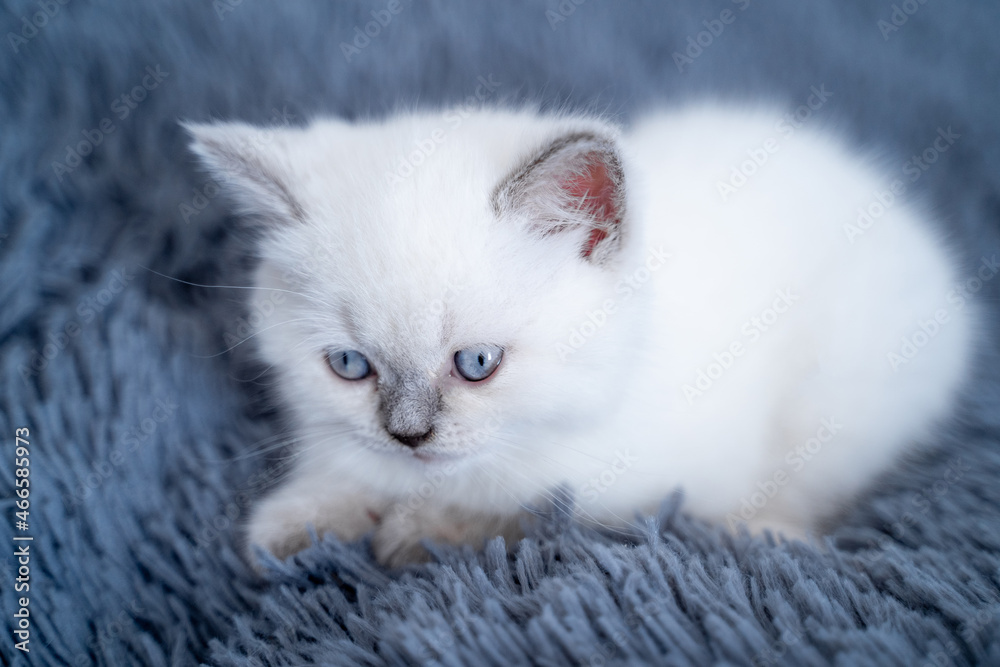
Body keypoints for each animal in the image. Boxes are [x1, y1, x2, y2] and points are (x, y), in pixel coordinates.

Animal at [188, 105, 976, 568]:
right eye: (350, 365)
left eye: (477, 363)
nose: (409, 435)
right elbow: (348, 470)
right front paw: (295, 523)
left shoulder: (632, 485)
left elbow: (521, 503)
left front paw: (415, 531)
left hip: (839, 399)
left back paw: (770, 531)